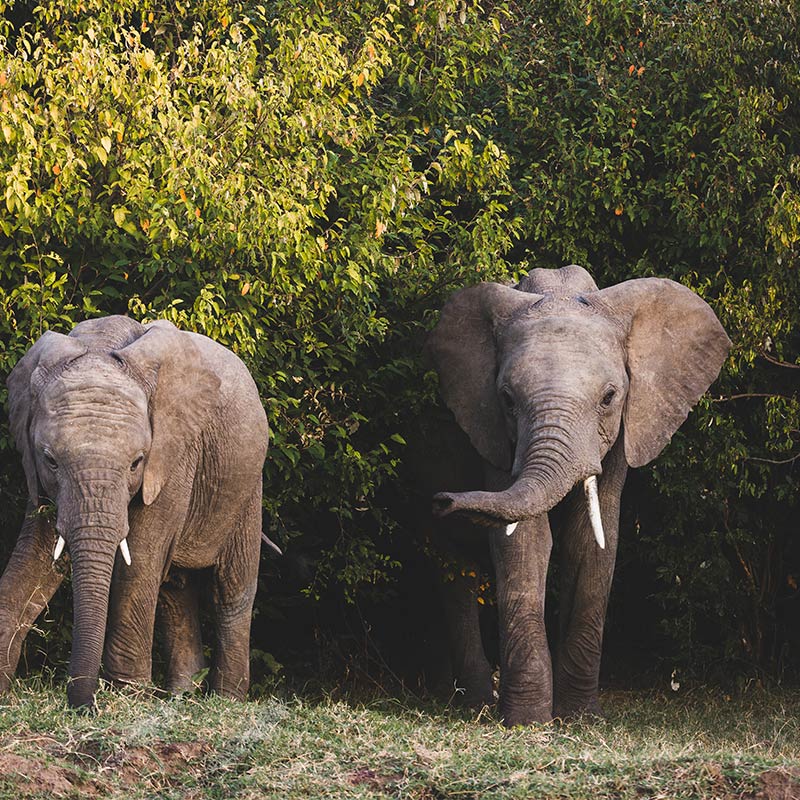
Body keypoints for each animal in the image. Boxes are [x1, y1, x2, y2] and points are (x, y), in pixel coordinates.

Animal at [0, 316, 270, 708]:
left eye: (136, 463)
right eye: (50, 460)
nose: (84, 704)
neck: (100, 342)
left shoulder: (174, 454)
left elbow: (139, 559)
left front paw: (127, 693)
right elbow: (35, 556)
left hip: (247, 486)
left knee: (232, 588)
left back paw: (226, 700)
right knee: (175, 590)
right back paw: (181, 696)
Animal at [424, 266, 732, 728]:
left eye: (609, 397)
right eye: (507, 399)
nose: (443, 501)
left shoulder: (625, 427)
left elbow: (591, 540)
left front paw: (579, 718)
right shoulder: (492, 431)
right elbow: (526, 541)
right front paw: (529, 722)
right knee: (454, 565)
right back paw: (474, 703)